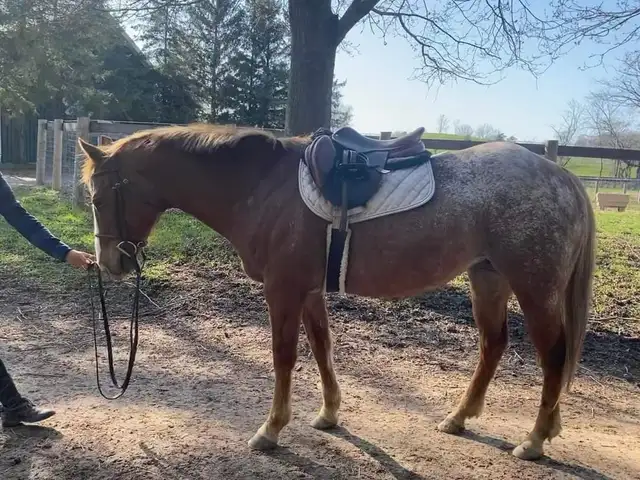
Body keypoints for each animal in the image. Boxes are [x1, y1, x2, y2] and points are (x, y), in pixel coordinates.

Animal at [77, 123, 595, 461]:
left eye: (99, 199)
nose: (110, 264)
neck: (262, 185)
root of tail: (563, 177)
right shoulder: (308, 291)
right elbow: (322, 347)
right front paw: (328, 415)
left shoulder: (283, 290)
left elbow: (284, 356)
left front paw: (271, 429)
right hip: (487, 278)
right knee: (493, 345)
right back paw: (459, 418)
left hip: (534, 287)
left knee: (553, 356)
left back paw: (534, 439)